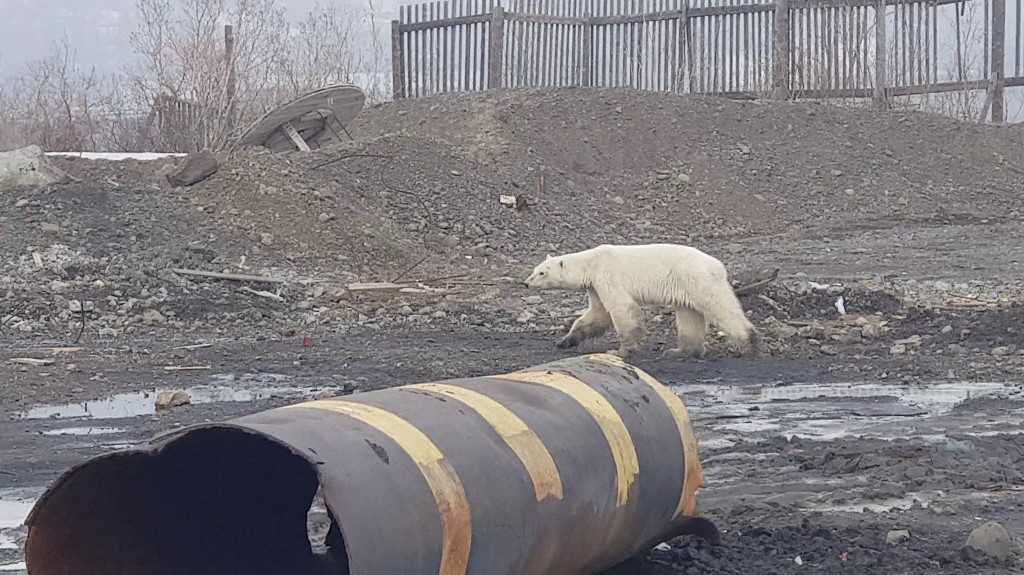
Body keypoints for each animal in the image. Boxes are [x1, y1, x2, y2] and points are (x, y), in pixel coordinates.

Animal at [524, 241, 757, 358]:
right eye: (534, 270)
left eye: (542, 273)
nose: (526, 283)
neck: (591, 262)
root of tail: (718, 265)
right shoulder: (595, 285)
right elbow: (597, 314)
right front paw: (564, 341)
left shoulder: (608, 275)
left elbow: (621, 308)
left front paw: (621, 350)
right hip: (686, 287)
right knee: (689, 315)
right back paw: (678, 351)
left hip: (697, 280)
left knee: (719, 307)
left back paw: (749, 341)